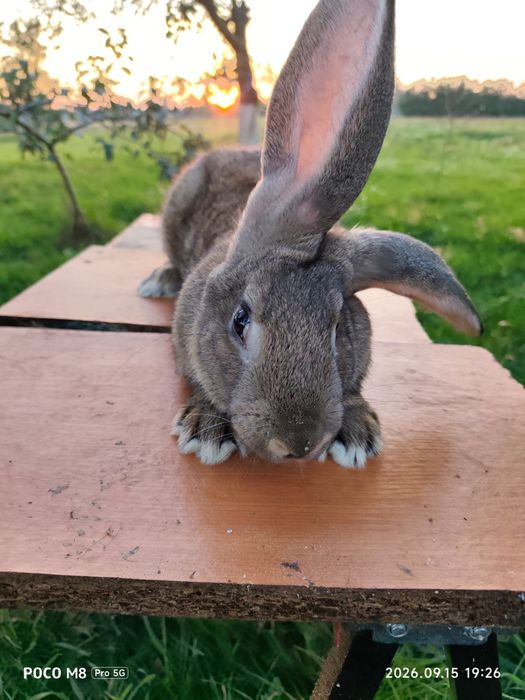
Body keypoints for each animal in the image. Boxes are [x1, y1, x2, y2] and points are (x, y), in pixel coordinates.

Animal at [138, 0, 481, 468]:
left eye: (338, 329)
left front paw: (356, 431)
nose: (298, 443)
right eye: (240, 320)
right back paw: (160, 280)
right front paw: (205, 429)